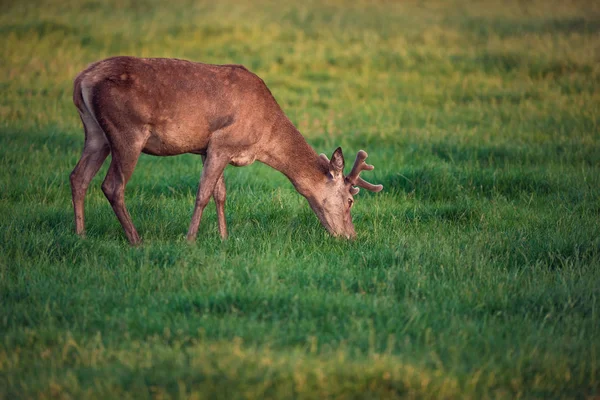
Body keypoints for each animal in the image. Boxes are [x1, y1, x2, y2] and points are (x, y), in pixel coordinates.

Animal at [69, 55, 380, 244]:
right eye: (350, 200)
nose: (351, 236)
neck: (265, 136)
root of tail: (81, 79)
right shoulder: (223, 142)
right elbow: (203, 193)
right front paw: (190, 240)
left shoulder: (208, 149)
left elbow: (220, 194)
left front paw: (223, 237)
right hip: (127, 131)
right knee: (112, 185)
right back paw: (136, 240)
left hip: (95, 132)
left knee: (78, 177)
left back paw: (80, 234)